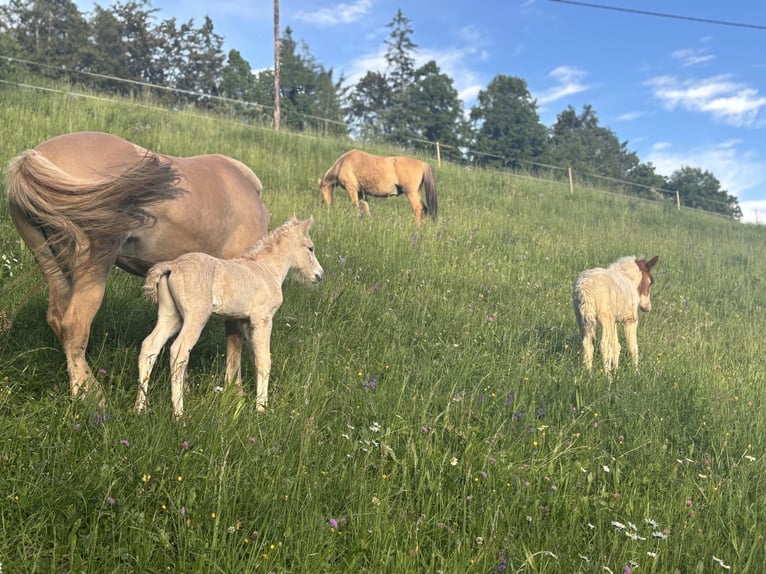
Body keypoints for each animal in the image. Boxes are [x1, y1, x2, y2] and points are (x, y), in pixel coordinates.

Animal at [5, 133, 270, 408]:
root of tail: (30, 160)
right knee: (74, 325)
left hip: (51, 265)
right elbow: (235, 338)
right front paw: (235, 392)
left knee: (57, 319)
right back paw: (91, 396)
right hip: (93, 267)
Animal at [138, 216, 324, 418]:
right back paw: (179, 414)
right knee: (178, 351)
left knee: (150, 346)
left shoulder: (246, 322)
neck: (266, 269)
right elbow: (265, 360)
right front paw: (261, 408)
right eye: (311, 248)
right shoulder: (263, 319)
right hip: (196, 316)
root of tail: (172, 266)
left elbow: (255, 357)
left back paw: (140, 408)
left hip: (171, 315)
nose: (319, 276)